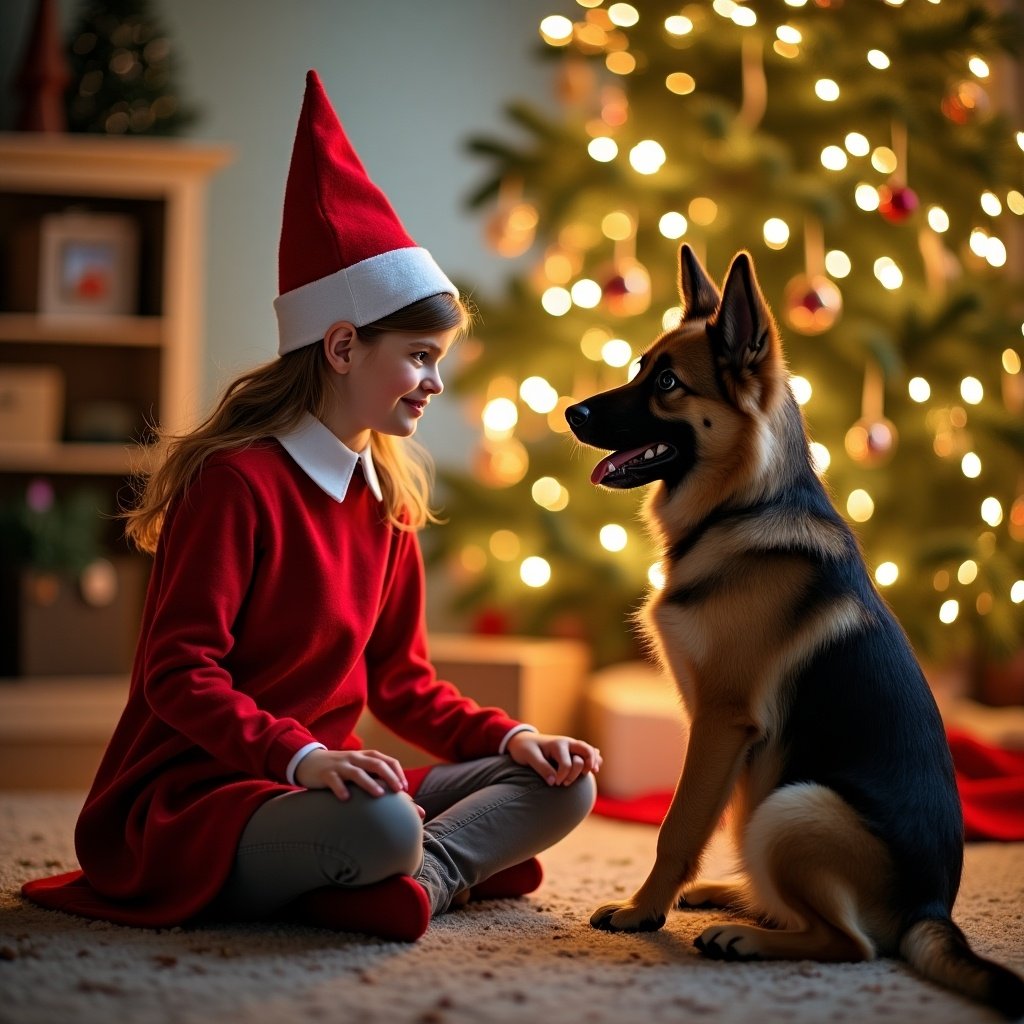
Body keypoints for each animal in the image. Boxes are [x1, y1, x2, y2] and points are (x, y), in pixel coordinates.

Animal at [565, 245, 1024, 1015]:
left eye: (667, 383)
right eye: (639, 365)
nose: (570, 411)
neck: (742, 505)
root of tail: (930, 909)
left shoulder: (721, 720)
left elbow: (677, 824)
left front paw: (641, 910)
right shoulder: (725, 738)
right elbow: (704, 818)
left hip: (796, 805)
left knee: (855, 944)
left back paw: (745, 937)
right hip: (776, 803)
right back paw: (738, 900)